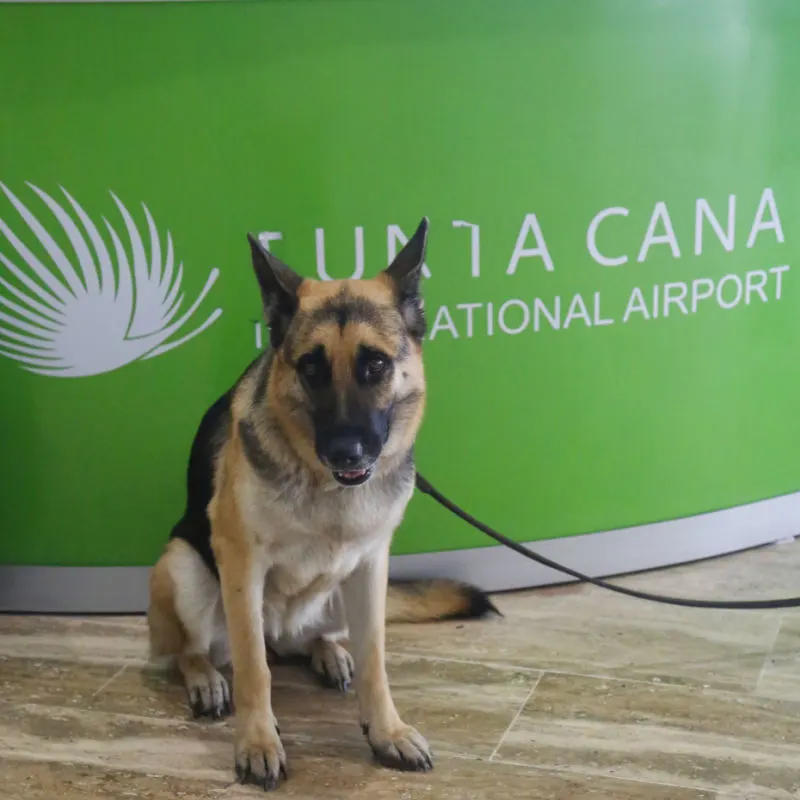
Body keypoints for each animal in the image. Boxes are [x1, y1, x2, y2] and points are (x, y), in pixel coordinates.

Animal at [146, 217, 490, 788]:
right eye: (311, 368)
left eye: (375, 365)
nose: (347, 452)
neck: (324, 488)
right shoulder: (240, 561)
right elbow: (254, 669)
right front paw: (258, 742)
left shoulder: (372, 564)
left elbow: (375, 660)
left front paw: (386, 731)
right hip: (182, 567)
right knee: (197, 650)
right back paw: (205, 678)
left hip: (340, 594)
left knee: (308, 642)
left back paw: (327, 652)